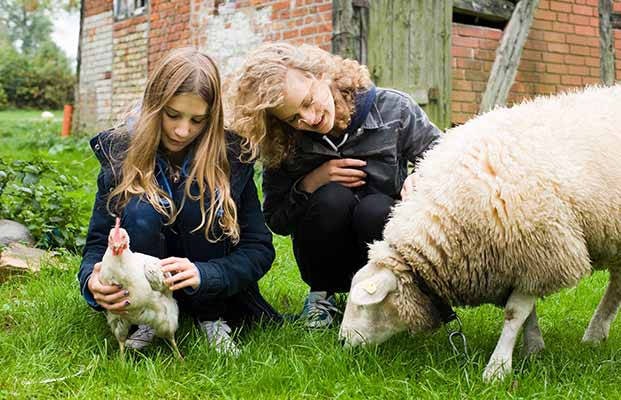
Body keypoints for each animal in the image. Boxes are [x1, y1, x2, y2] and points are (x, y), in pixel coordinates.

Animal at [336, 84, 620, 382]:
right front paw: (533, 349)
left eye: (363, 305)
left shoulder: (541, 253)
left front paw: (497, 369)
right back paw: (595, 336)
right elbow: (528, 313)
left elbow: (514, 313)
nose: (341, 343)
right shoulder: (522, 260)